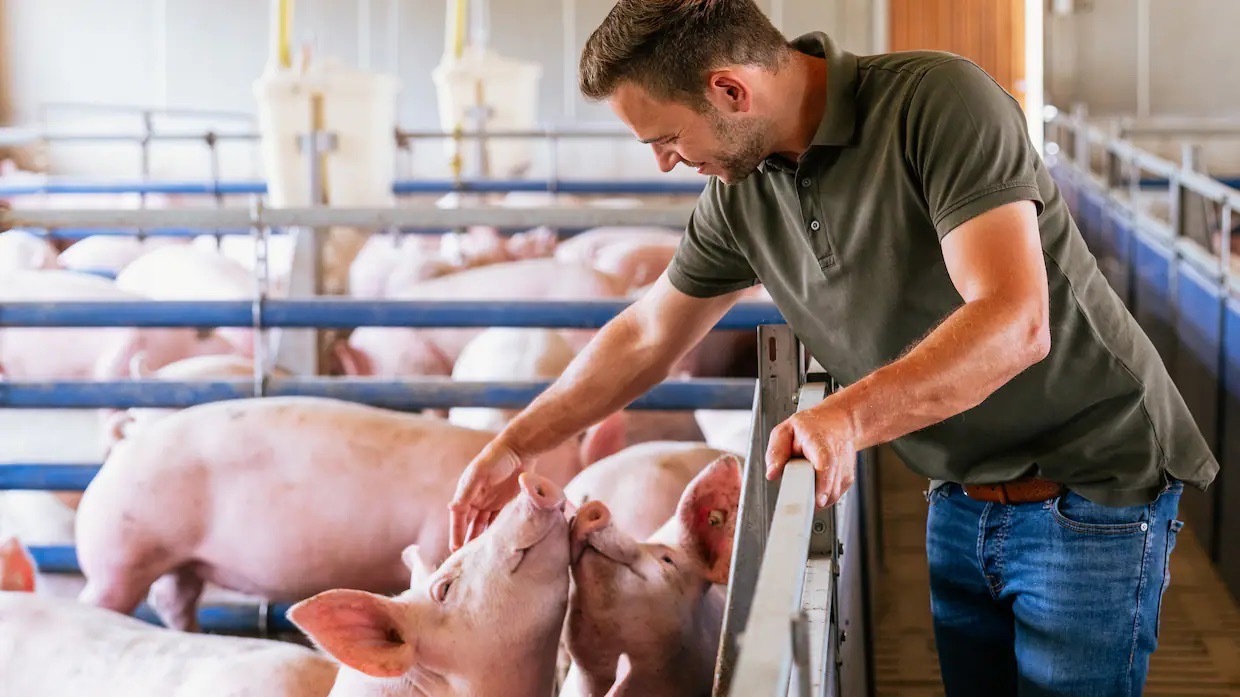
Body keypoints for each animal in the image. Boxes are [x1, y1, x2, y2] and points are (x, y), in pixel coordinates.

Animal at [74, 396, 626, 632]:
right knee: (107, 598)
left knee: (175, 600)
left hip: (177, 559)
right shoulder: (433, 538)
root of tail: (122, 449)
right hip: (122, 548)